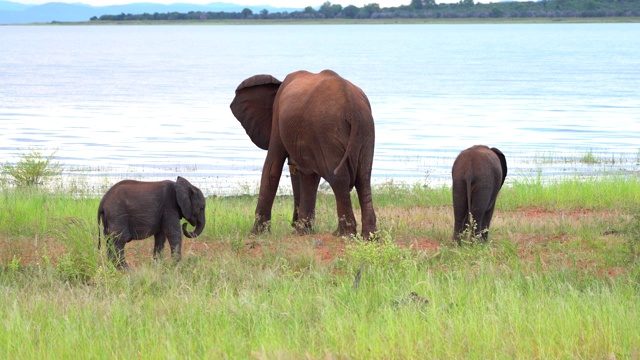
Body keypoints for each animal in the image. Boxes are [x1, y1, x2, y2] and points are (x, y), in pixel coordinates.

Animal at [230, 70, 378, 239]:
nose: (293, 224)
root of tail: (351, 106)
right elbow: (306, 174)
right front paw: (302, 231)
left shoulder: (278, 116)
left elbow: (272, 168)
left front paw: (256, 234)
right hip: (365, 129)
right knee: (363, 177)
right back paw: (370, 236)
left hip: (328, 130)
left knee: (339, 178)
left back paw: (343, 234)